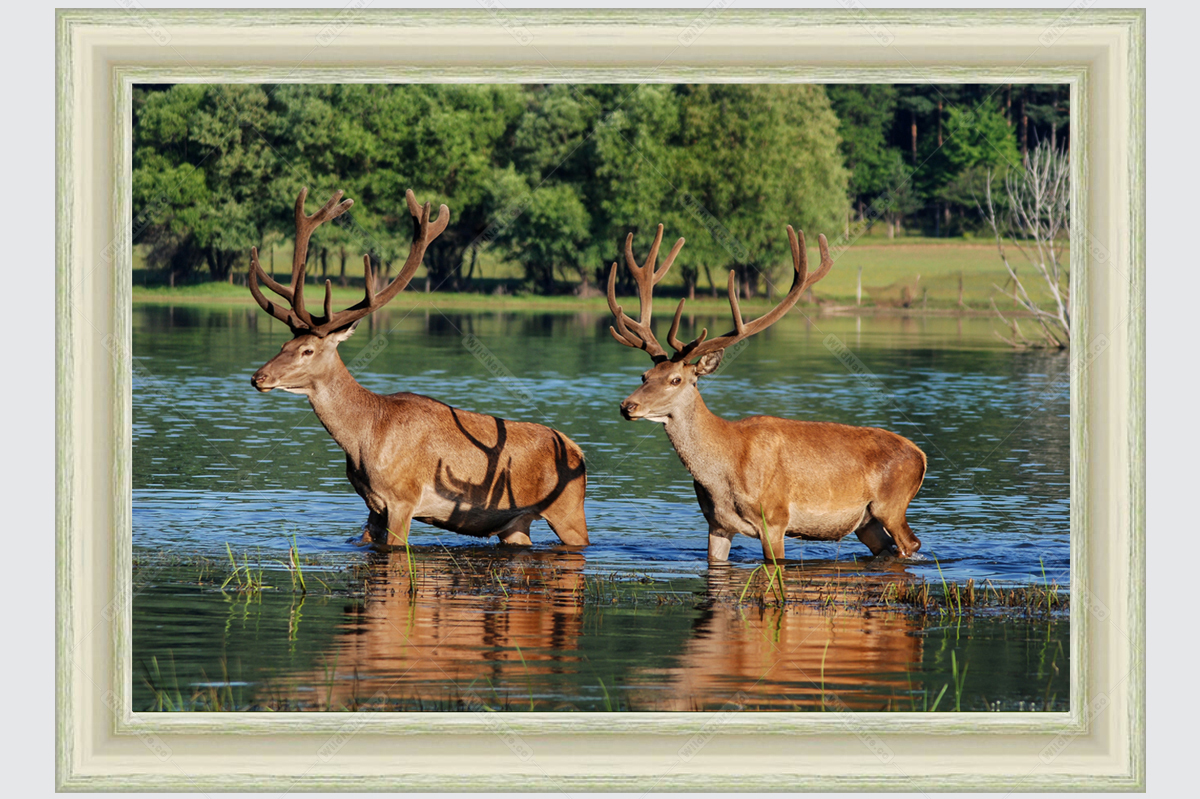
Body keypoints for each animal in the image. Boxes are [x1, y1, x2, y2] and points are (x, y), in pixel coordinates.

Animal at [248, 188, 589, 549]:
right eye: (283, 346)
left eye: (307, 350)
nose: (259, 377)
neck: (365, 439)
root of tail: (578, 451)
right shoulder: (373, 505)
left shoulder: (403, 498)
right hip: (516, 524)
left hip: (569, 510)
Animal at [607, 224, 925, 563]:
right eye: (645, 375)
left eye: (676, 379)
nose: (628, 405)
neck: (724, 472)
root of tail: (920, 455)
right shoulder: (716, 523)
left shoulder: (774, 517)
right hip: (866, 521)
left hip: (892, 504)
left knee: (911, 543)